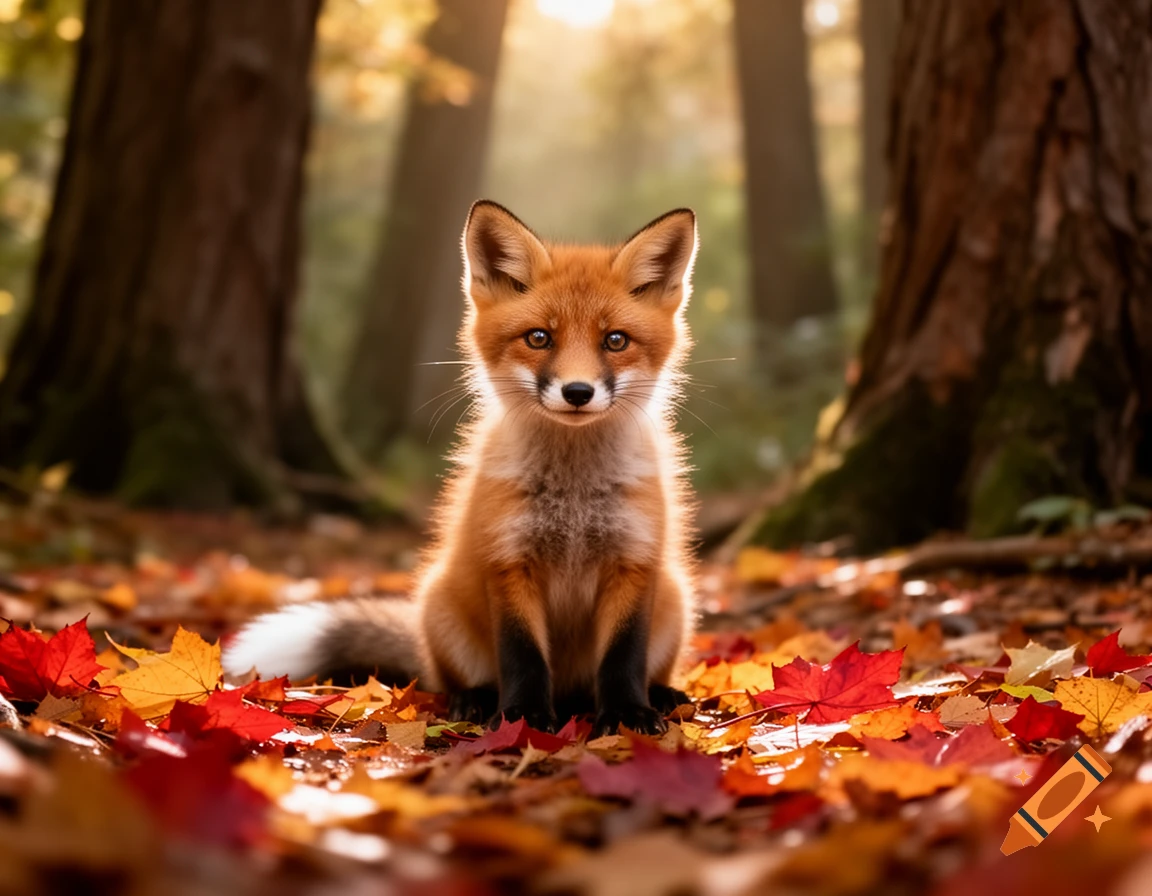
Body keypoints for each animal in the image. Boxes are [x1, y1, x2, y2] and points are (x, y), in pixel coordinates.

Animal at [223, 201, 699, 736]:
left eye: (615, 341)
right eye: (539, 337)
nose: (577, 392)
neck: (573, 497)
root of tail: (572, 692)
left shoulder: (633, 561)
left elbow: (623, 654)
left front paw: (625, 715)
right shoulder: (507, 560)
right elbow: (522, 654)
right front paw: (524, 717)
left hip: (677, 597)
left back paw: (662, 695)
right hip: (441, 602)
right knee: (455, 680)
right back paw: (476, 701)